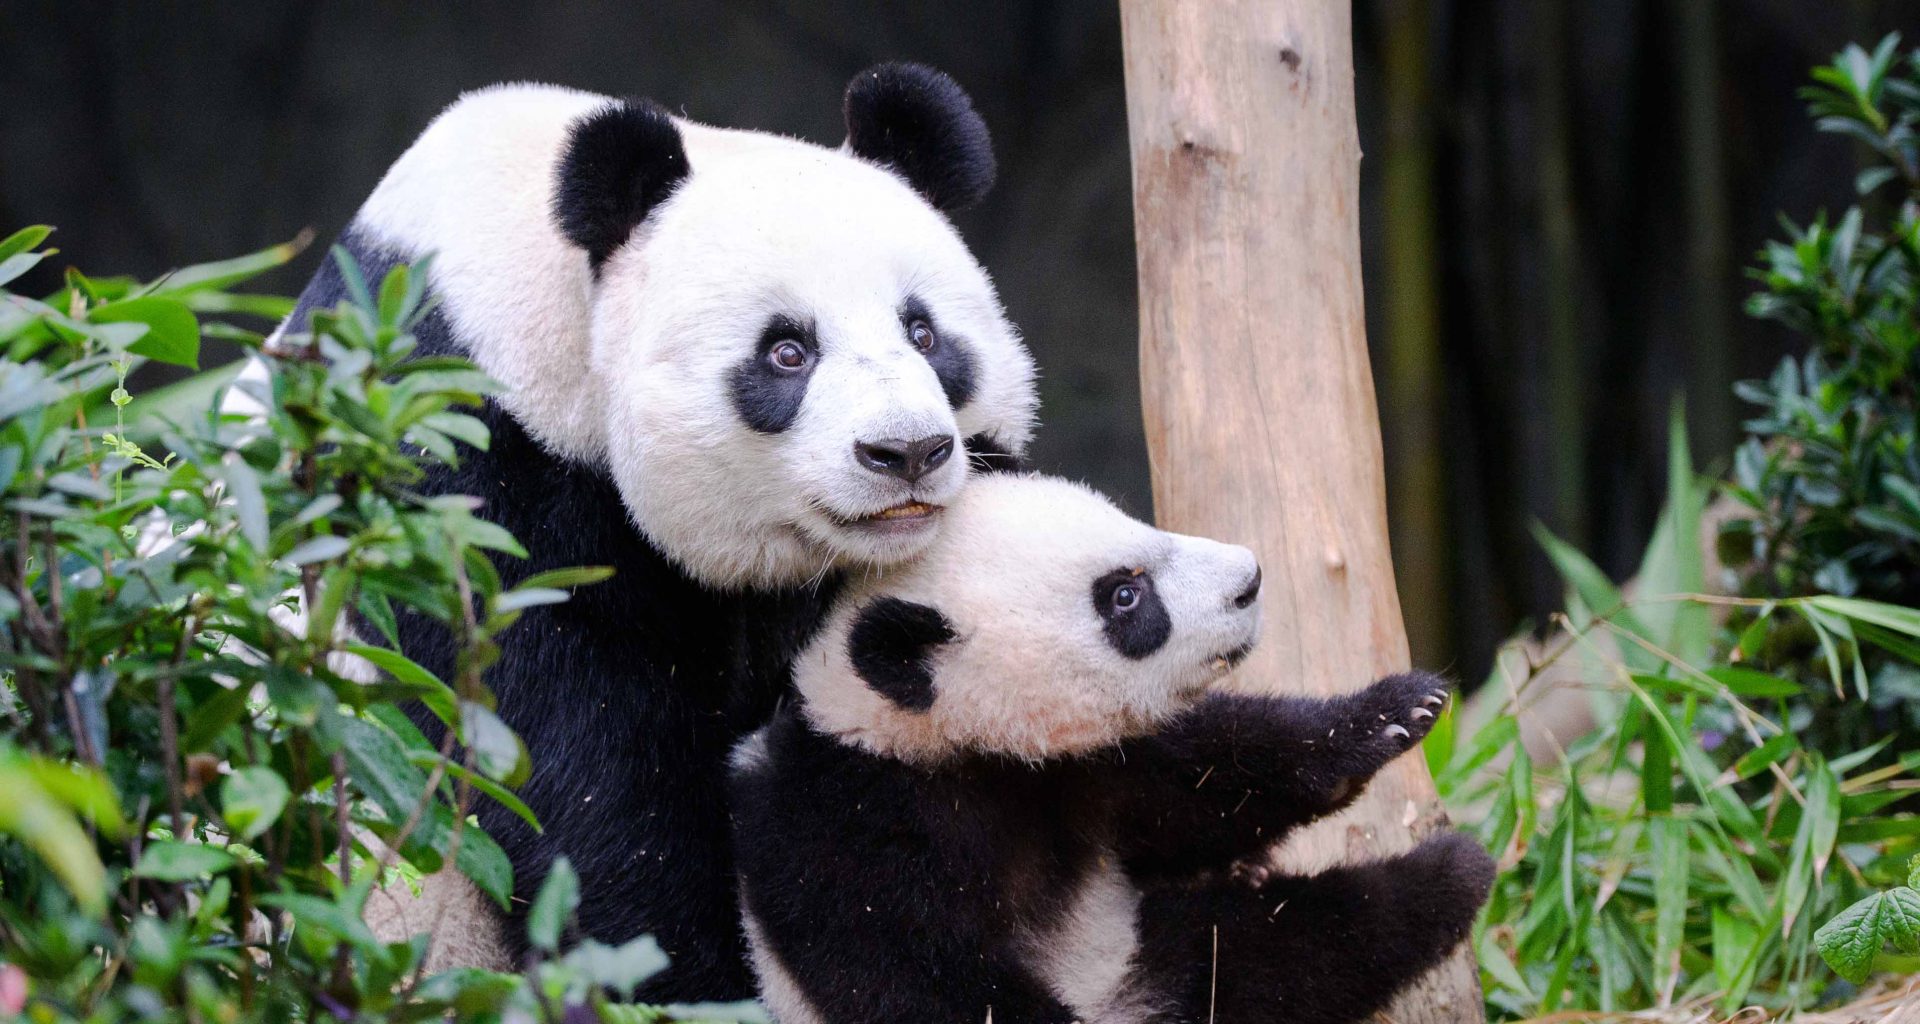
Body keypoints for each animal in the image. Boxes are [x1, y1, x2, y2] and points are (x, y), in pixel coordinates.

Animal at [276, 65, 1038, 998]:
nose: (907, 453)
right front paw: (692, 977)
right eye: (787, 352)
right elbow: (575, 766)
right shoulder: (453, 464)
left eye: (924, 333)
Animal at [729, 473, 1497, 1024]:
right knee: (1269, 954)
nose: (1250, 580)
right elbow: (923, 984)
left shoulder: (1087, 768)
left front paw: (1392, 713)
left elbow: (1206, 782)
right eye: (1125, 596)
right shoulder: (850, 844)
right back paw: (1440, 880)